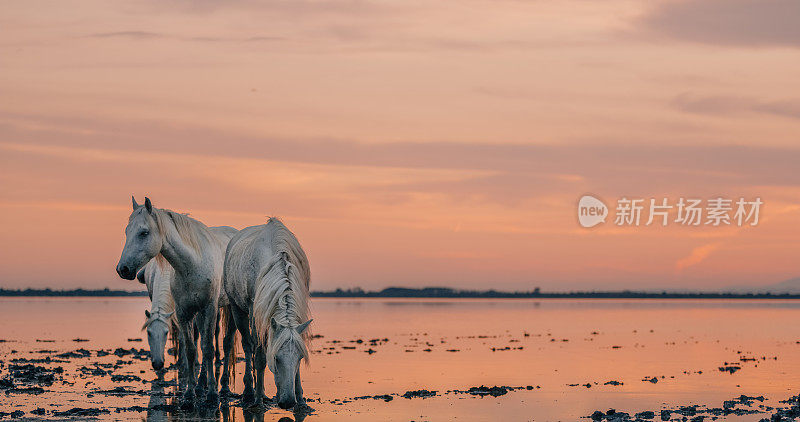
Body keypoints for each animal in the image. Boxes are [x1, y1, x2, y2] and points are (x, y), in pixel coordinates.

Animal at [116, 198, 234, 406]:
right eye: (127, 231)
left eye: (144, 232)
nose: (123, 269)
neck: (192, 265)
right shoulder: (184, 311)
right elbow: (191, 349)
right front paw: (189, 395)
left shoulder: (209, 308)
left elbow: (208, 349)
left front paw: (212, 395)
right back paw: (201, 386)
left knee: (229, 343)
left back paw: (226, 387)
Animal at [225, 218, 316, 408]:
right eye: (275, 359)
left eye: (299, 358)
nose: (288, 402)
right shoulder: (256, 313)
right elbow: (259, 355)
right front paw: (258, 399)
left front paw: (301, 399)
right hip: (237, 309)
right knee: (247, 345)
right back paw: (249, 392)